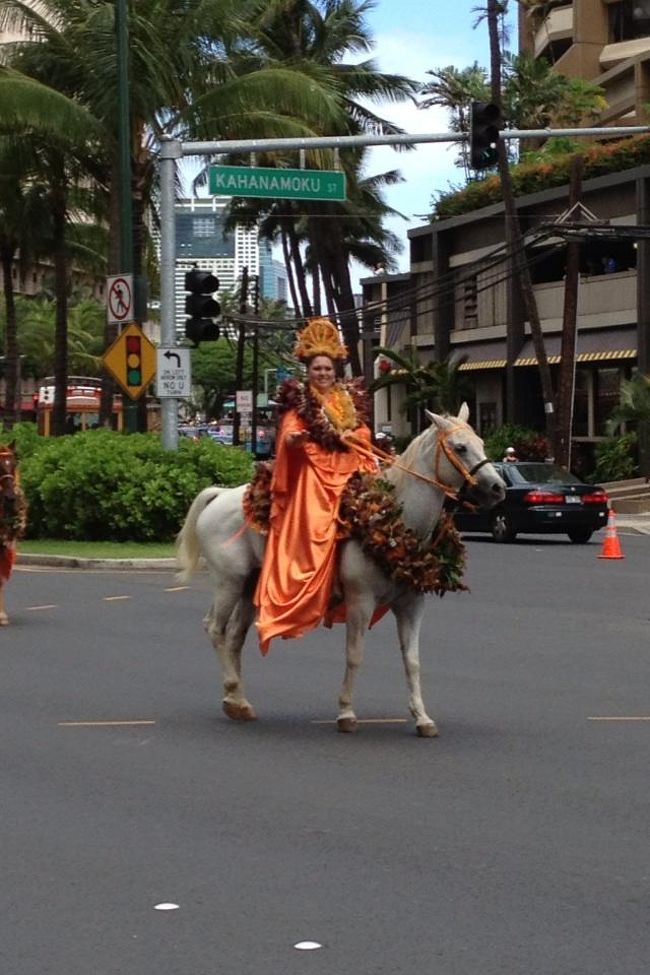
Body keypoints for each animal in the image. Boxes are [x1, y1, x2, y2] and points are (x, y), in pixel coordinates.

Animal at [176, 406, 506, 740]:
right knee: (215, 628)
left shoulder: (412, 604)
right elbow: (355, 655)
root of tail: (220, 495)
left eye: (481, 441)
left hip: (249, 586)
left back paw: (238, 702)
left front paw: (422, 718)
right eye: (460, 448)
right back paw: (232, 689)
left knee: (234, 636)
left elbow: (412, 661)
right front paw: (346, 712)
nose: (498, 488)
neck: (395, 522)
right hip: (229, 582)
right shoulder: (360, 601)